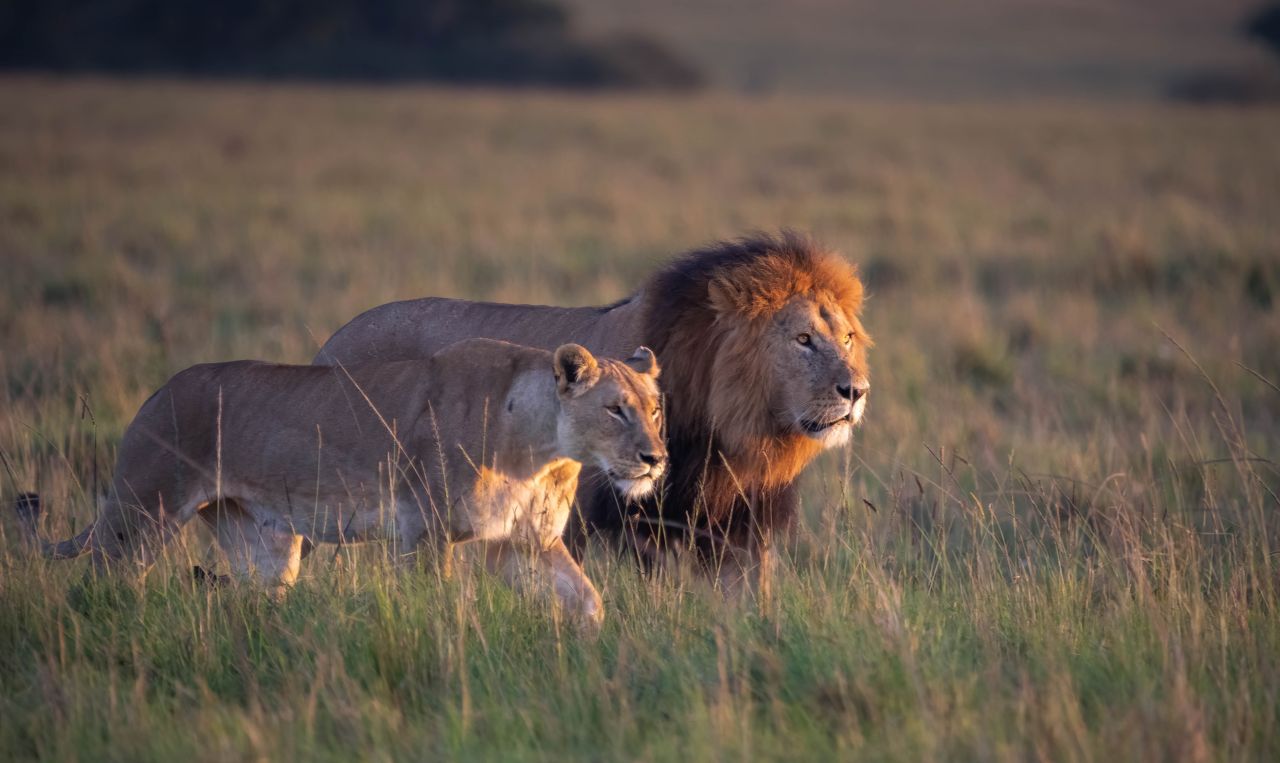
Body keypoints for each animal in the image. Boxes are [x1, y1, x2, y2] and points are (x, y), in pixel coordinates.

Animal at [20, 340, 665, 624]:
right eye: (614, 409)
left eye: (655, 409)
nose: (656, 459)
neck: (544, 452)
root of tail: (155, 394)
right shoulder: (426, 532)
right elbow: (434, 605)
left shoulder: (521, 541)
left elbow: (587, 598)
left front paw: (587, 656)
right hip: (139, 515)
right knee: (99, 583)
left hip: (264, 544)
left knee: (260, 595)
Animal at [317, 232, 870, 583]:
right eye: (803, 339)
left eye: (845, 338)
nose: (857, 390)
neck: (730, 437)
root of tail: (330, 343)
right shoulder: (587, 525)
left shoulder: (737, 534)